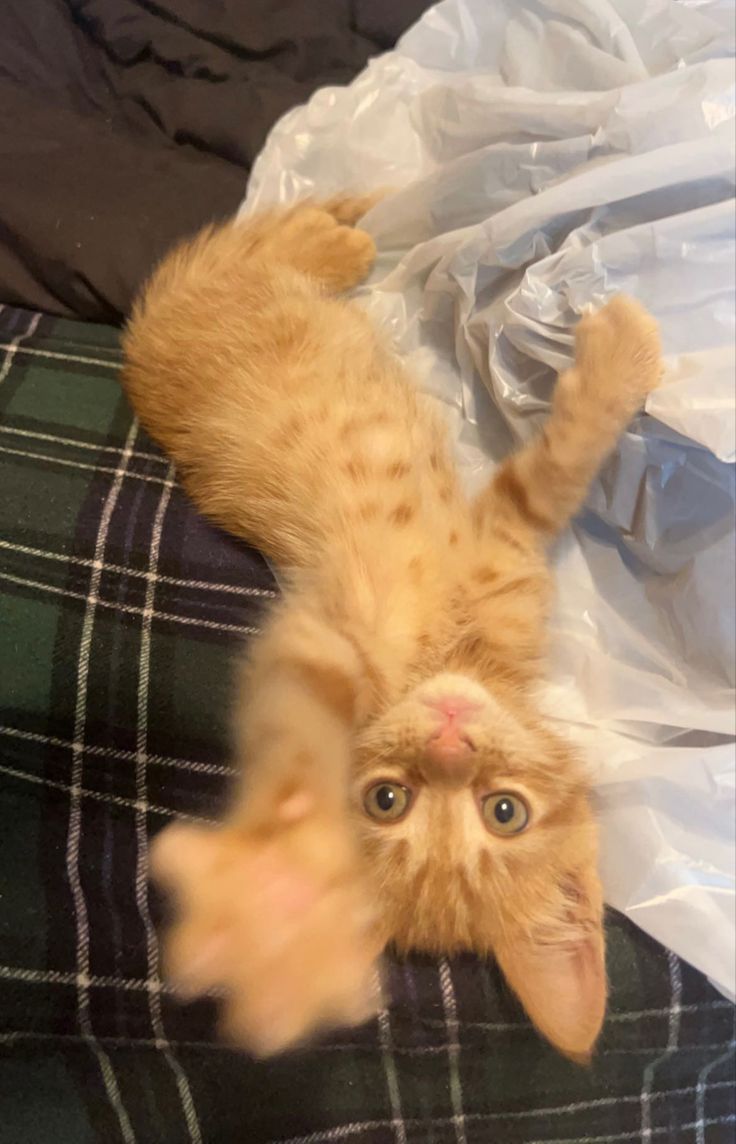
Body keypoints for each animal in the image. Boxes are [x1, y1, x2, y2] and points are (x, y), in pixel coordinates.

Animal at [120, 194, 663, 1061]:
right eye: (387, 801)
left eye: (504, 812)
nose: (450, 738)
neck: (460, 656)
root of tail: (136, 348)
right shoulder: (368, 607)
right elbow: (553, 469)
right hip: (232, 290)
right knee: (256, 243)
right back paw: (346, 235)